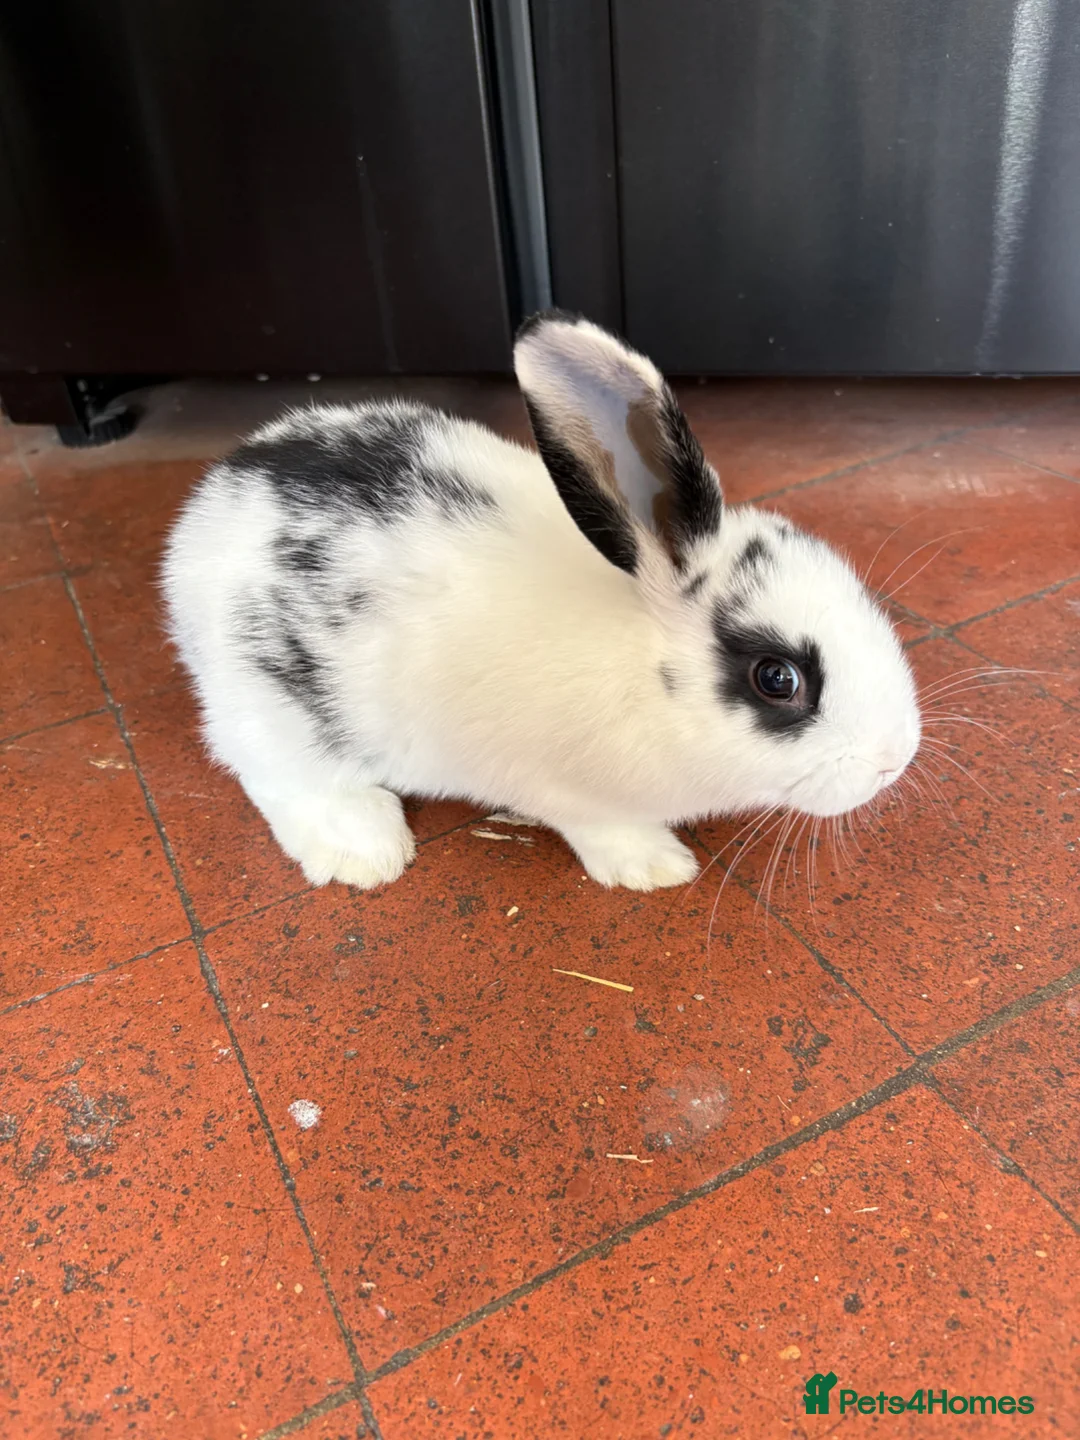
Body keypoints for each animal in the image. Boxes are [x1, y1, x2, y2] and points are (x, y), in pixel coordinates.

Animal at [161, 311, 921, 893]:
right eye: (777, 678)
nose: (895, 759)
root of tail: (205, 508)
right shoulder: (563, 790)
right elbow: (604, 828)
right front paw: (656, 867)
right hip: (272, 711)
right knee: (272, 775)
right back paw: (365, 851)